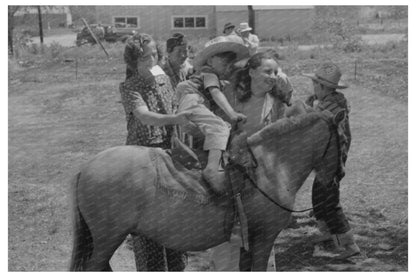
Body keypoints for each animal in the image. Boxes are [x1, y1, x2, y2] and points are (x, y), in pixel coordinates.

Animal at [70, 110, 344, 270]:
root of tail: (85, 168)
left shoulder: (249, 240)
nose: (337, 175)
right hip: (108, 238)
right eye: (342, 138)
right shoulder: (265, 237)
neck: (271, 166)